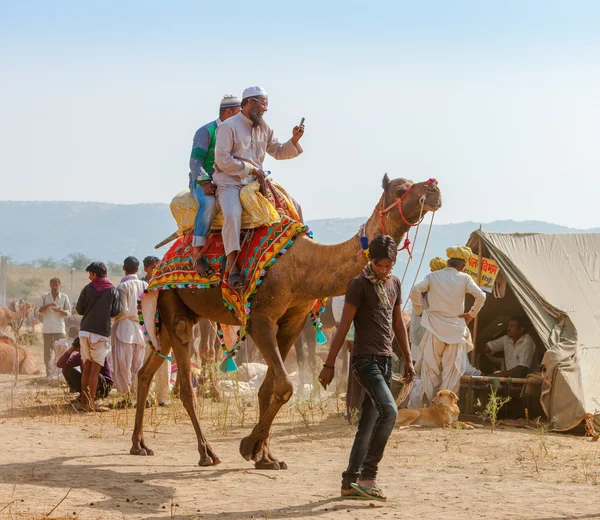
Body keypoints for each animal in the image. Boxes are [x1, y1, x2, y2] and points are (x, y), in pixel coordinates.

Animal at [131, 177, 440, 470]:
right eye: (400, 188)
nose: (434, 188)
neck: (301, 267)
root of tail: (165, 259)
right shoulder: (260, 319)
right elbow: (285, 387)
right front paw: (248, 447)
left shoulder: (293, 322)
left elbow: (269, 389)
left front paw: (265, 456)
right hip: (173, 304)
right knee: (185, 382)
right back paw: (206, 453)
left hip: (174, 316)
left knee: (146, 371)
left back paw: (139, 444)